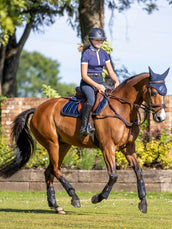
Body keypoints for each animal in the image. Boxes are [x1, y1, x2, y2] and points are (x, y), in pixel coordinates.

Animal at [0, 67, 169, 214]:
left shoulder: (128, 147)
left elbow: (139, 171)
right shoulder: (107, 147)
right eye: (153, 92)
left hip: (63, 145)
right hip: (52, 143)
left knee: (50, 171)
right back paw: (74, 198)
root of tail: (37, 110)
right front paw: (97, 198)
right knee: (56, 170)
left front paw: (143, 203)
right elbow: (113, 175)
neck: (122, 110)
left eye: (165, 92)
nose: (160, 117)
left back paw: (56, 206)